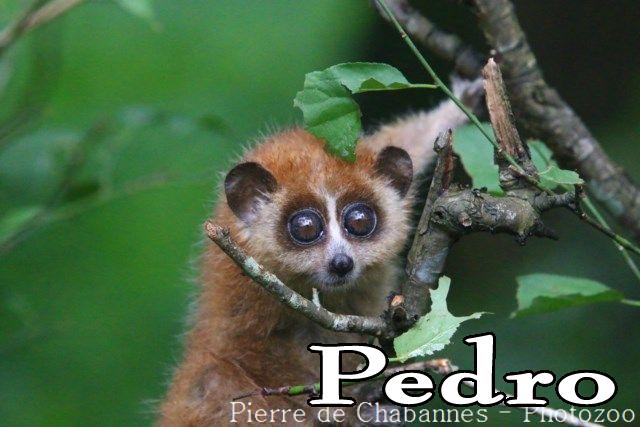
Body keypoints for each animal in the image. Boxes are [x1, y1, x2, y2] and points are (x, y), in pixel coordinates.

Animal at [159, 78, 483, 426]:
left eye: (359, 221)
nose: (341, 262)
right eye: (305, 228)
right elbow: (264, 356)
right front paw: (350, 409)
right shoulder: (250, 301)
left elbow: (406, 139)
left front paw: (459, 103)